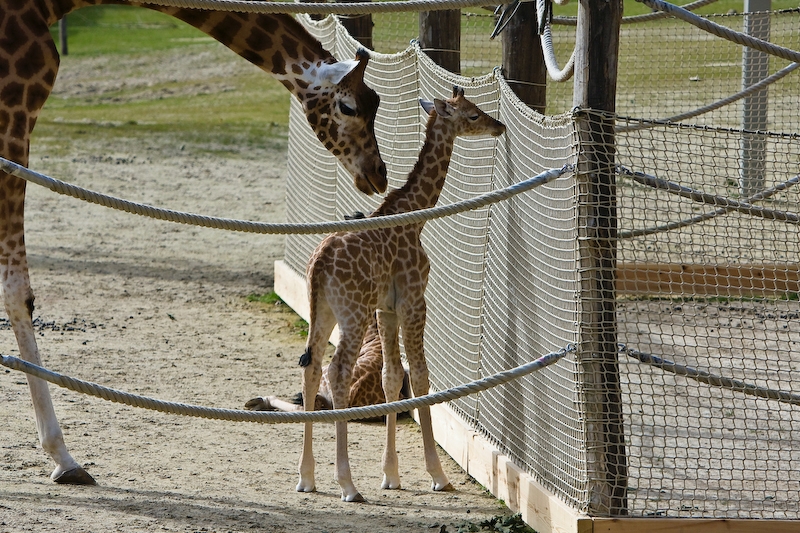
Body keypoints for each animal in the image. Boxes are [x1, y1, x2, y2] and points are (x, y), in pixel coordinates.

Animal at [0, 0, 387, 486]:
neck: (45, 8)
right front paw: (63, 457)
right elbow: (18, 291)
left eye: (377, 102)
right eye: (349, 105)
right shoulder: (12, 109)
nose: (378, 174)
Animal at [298, 86, 506, 502]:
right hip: (353, 312)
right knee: (337, 371)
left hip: (323, 311)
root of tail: (319, 265)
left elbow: (393, 377)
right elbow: (421, 378)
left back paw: (307, 477)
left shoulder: (386, 309)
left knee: (312, 369)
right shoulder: (413, 300)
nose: (500, 126)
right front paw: (437, 475)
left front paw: (390, 474)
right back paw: (347, 484)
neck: (416, 217)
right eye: (473, 114)